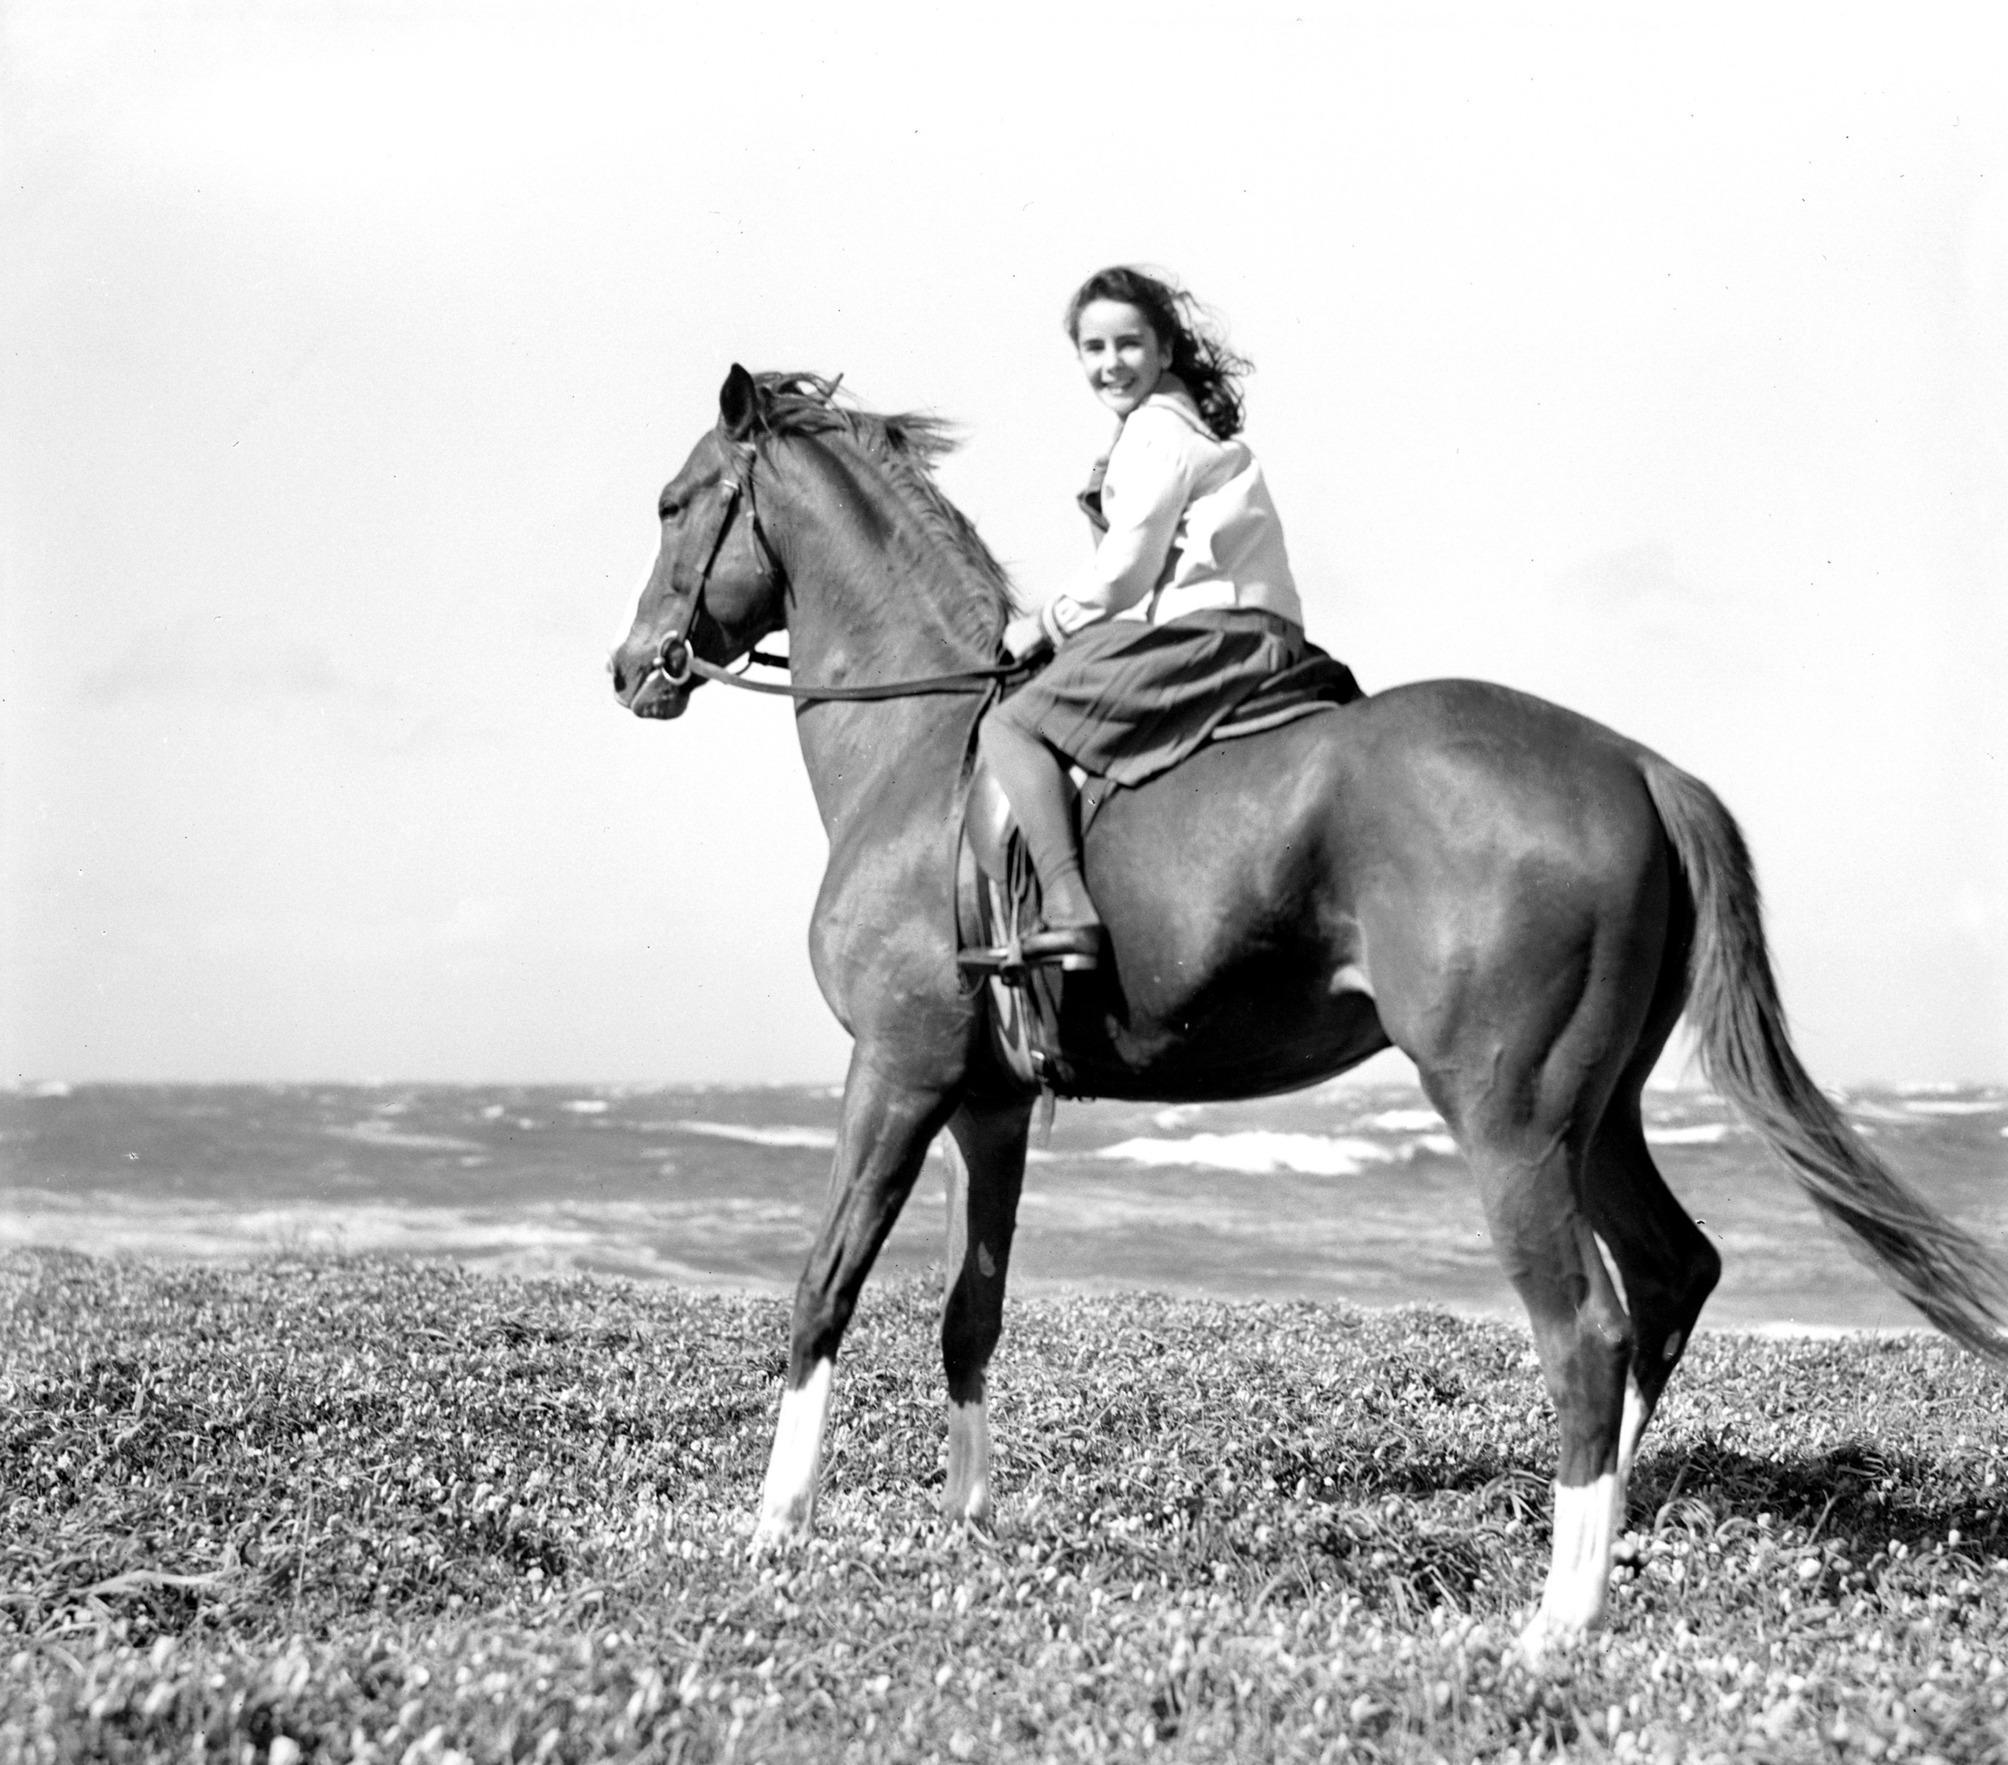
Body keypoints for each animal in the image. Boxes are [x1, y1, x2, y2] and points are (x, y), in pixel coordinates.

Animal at [610, 369, 2007, 1654]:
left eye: (676, 502)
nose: (631, 669)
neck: (924, 751)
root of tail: (1635, 765)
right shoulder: (989, 1109)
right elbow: (972, 1314)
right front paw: (967, 1527)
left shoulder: (894, 1075)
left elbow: (823, 1286)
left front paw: (775, 1529)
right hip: (1595, 1113)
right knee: (1671, 1275)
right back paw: (1598, 1528)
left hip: (1509, 1124)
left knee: (1590, 1329)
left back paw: (1560, 1616)